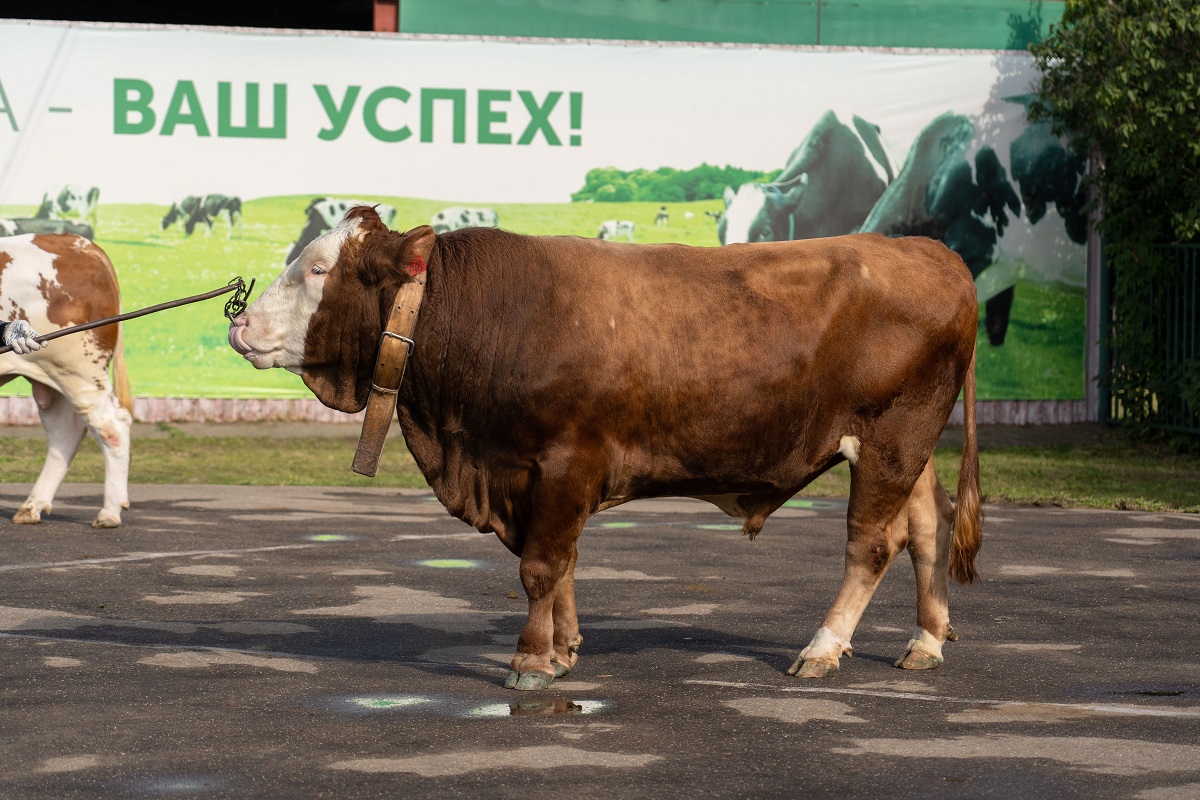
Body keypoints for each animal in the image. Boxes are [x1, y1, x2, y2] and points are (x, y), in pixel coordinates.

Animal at [0, 235, 133, 527]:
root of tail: (81, 243)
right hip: (54, 378)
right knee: (65, 432)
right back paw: (32, 506)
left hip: (80, 371)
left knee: (112, 427)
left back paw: (109, 513)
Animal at [226, 209, 984, 690]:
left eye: (317, 268)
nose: (240, 322)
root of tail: (930, 250)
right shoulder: (532, 477)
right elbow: (561, 564)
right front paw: (563, 649)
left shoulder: (565, 463)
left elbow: (541, 566)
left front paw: (531, 662)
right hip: (909, 447)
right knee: (926, 526)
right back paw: (925, 640)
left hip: (890, 438)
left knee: (872, 544)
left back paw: (823, 649)